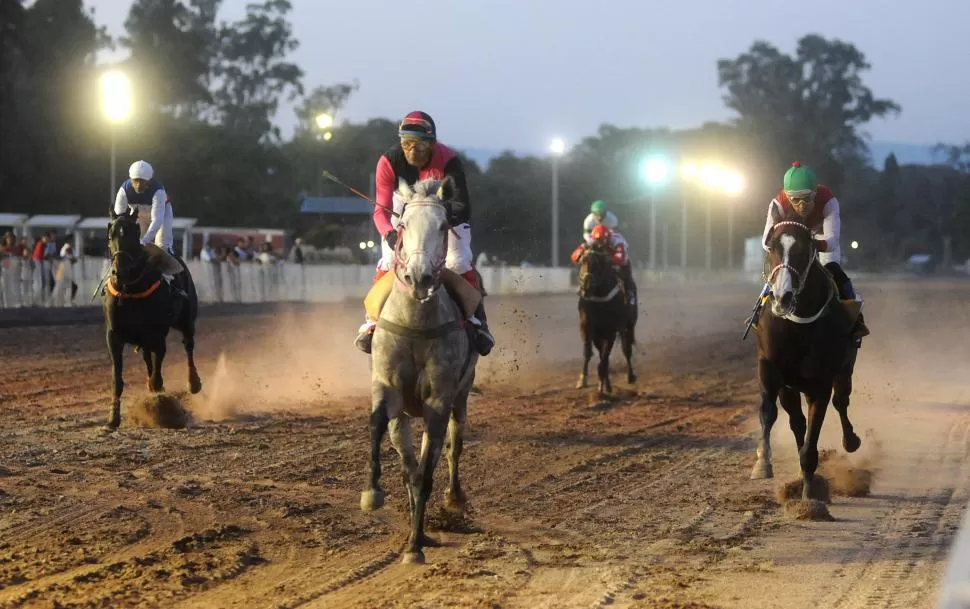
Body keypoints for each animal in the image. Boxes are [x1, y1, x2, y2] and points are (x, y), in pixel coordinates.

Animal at [102, 204, 202, 428]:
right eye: (111, 235)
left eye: (134, 234)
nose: (119, 271)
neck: (131, 288)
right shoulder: (114, 335)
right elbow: (116, 379)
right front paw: (112, 419)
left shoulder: (157, 334)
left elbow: (157, 377)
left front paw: (162, 410)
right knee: (148, 358)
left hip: (186, 321)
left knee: (188, 345)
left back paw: (194, 383)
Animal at [358, 176, 478, 564]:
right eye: (403, 225)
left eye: (443, 226)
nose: (420, 277)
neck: (416, 323)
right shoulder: (385, 386)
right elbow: (376, 424)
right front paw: (372, 493)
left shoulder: (438, 399)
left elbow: (428, 472)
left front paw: (414, 546)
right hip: (405, 416)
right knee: (408, 464)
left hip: (461, 394)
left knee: (453, 447)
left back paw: (451, 500)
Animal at [576, 243, 636, 392]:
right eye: (582, 261)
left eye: (597, 263)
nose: (586, 287)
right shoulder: (587, 326)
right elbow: (588, 352)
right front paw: (582, 380)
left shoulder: (611, 330)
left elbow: (605, 357)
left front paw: (602, 383)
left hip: (629, 326)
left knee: (626, 349)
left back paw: (630, 376)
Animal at [752, 211, 860, 502]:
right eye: (772, 247)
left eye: (803, 250)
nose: (782, 296)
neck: (796, 326)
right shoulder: (770, 369)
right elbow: (768, 413)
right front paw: (762, 462)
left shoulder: (820, 383)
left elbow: (813, 436)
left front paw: (810, 495)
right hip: (790, 388)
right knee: (797, 422)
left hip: (846, 367)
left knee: (841, 402)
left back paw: (851, 440)